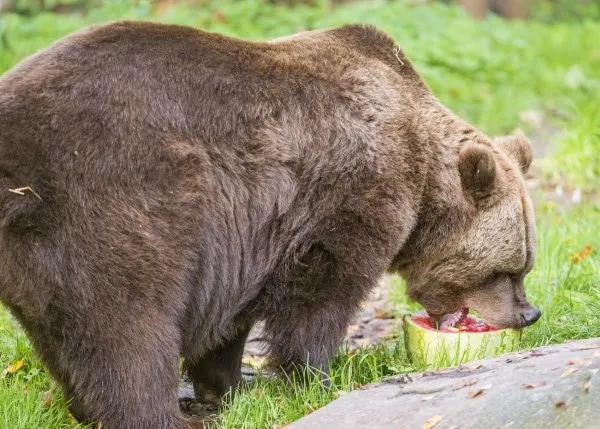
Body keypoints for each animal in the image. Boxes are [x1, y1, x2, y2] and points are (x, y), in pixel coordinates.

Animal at [0, 20, 540, 428]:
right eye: (509, 268)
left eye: (525, 264)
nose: (529, 313)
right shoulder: (345, 194)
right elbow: (322, 293)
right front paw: (316, 377)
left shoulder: (244, 242)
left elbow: (229, 319)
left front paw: (227, 387)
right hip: (123, 203)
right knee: (129, 326)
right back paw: (157, 415)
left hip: (34, 257)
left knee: (65, 334)